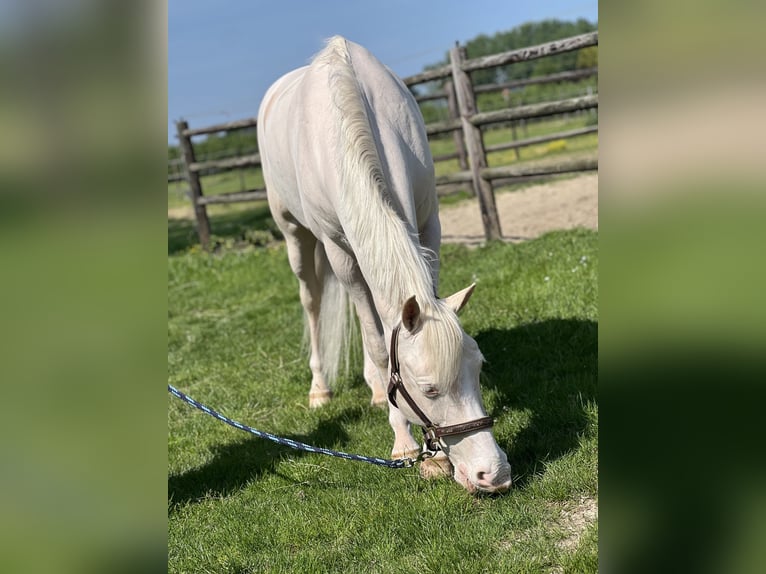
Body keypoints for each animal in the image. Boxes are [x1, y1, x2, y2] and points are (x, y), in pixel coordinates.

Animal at [257, 36, 511, 493]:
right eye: (428, 390)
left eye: (479, 368)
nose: (493, 474)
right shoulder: (340, 254)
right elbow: (378, 345)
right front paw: (406, 445)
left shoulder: (427, 228)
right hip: (296, 238)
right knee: (313, 302)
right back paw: (320, 389)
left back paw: (374, 391)